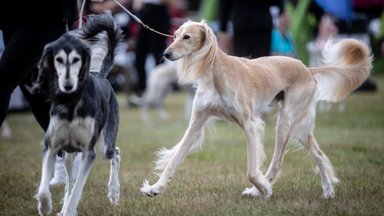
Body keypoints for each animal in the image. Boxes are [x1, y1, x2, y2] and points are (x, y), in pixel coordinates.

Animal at [32, 12, 123, 216]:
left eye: (77, 59)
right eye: (57, 59)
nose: (68, 84)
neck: (71, 104)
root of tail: (100, 78)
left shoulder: (89, 153)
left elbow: (77, 191)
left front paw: (68, 209)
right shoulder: (51, 146)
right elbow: (45, 189)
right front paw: (45, 206)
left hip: (105, 145)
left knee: (115, 153)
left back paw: (114, 192)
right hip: (68, 154)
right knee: (69, 180)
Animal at [141, 20, 372, 199]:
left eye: (187, 37)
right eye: (174, 36)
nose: (166, 53)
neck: (215, 74)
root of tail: (307, 68)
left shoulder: (251, 124)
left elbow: (252, 171)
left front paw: (264, 188)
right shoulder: (196, 125)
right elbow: (173, 161)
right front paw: (155, 188)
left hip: (286, 120)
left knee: (278, 162)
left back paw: (262, 188)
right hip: (300, 129)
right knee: (320, 155)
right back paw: (328, 191)